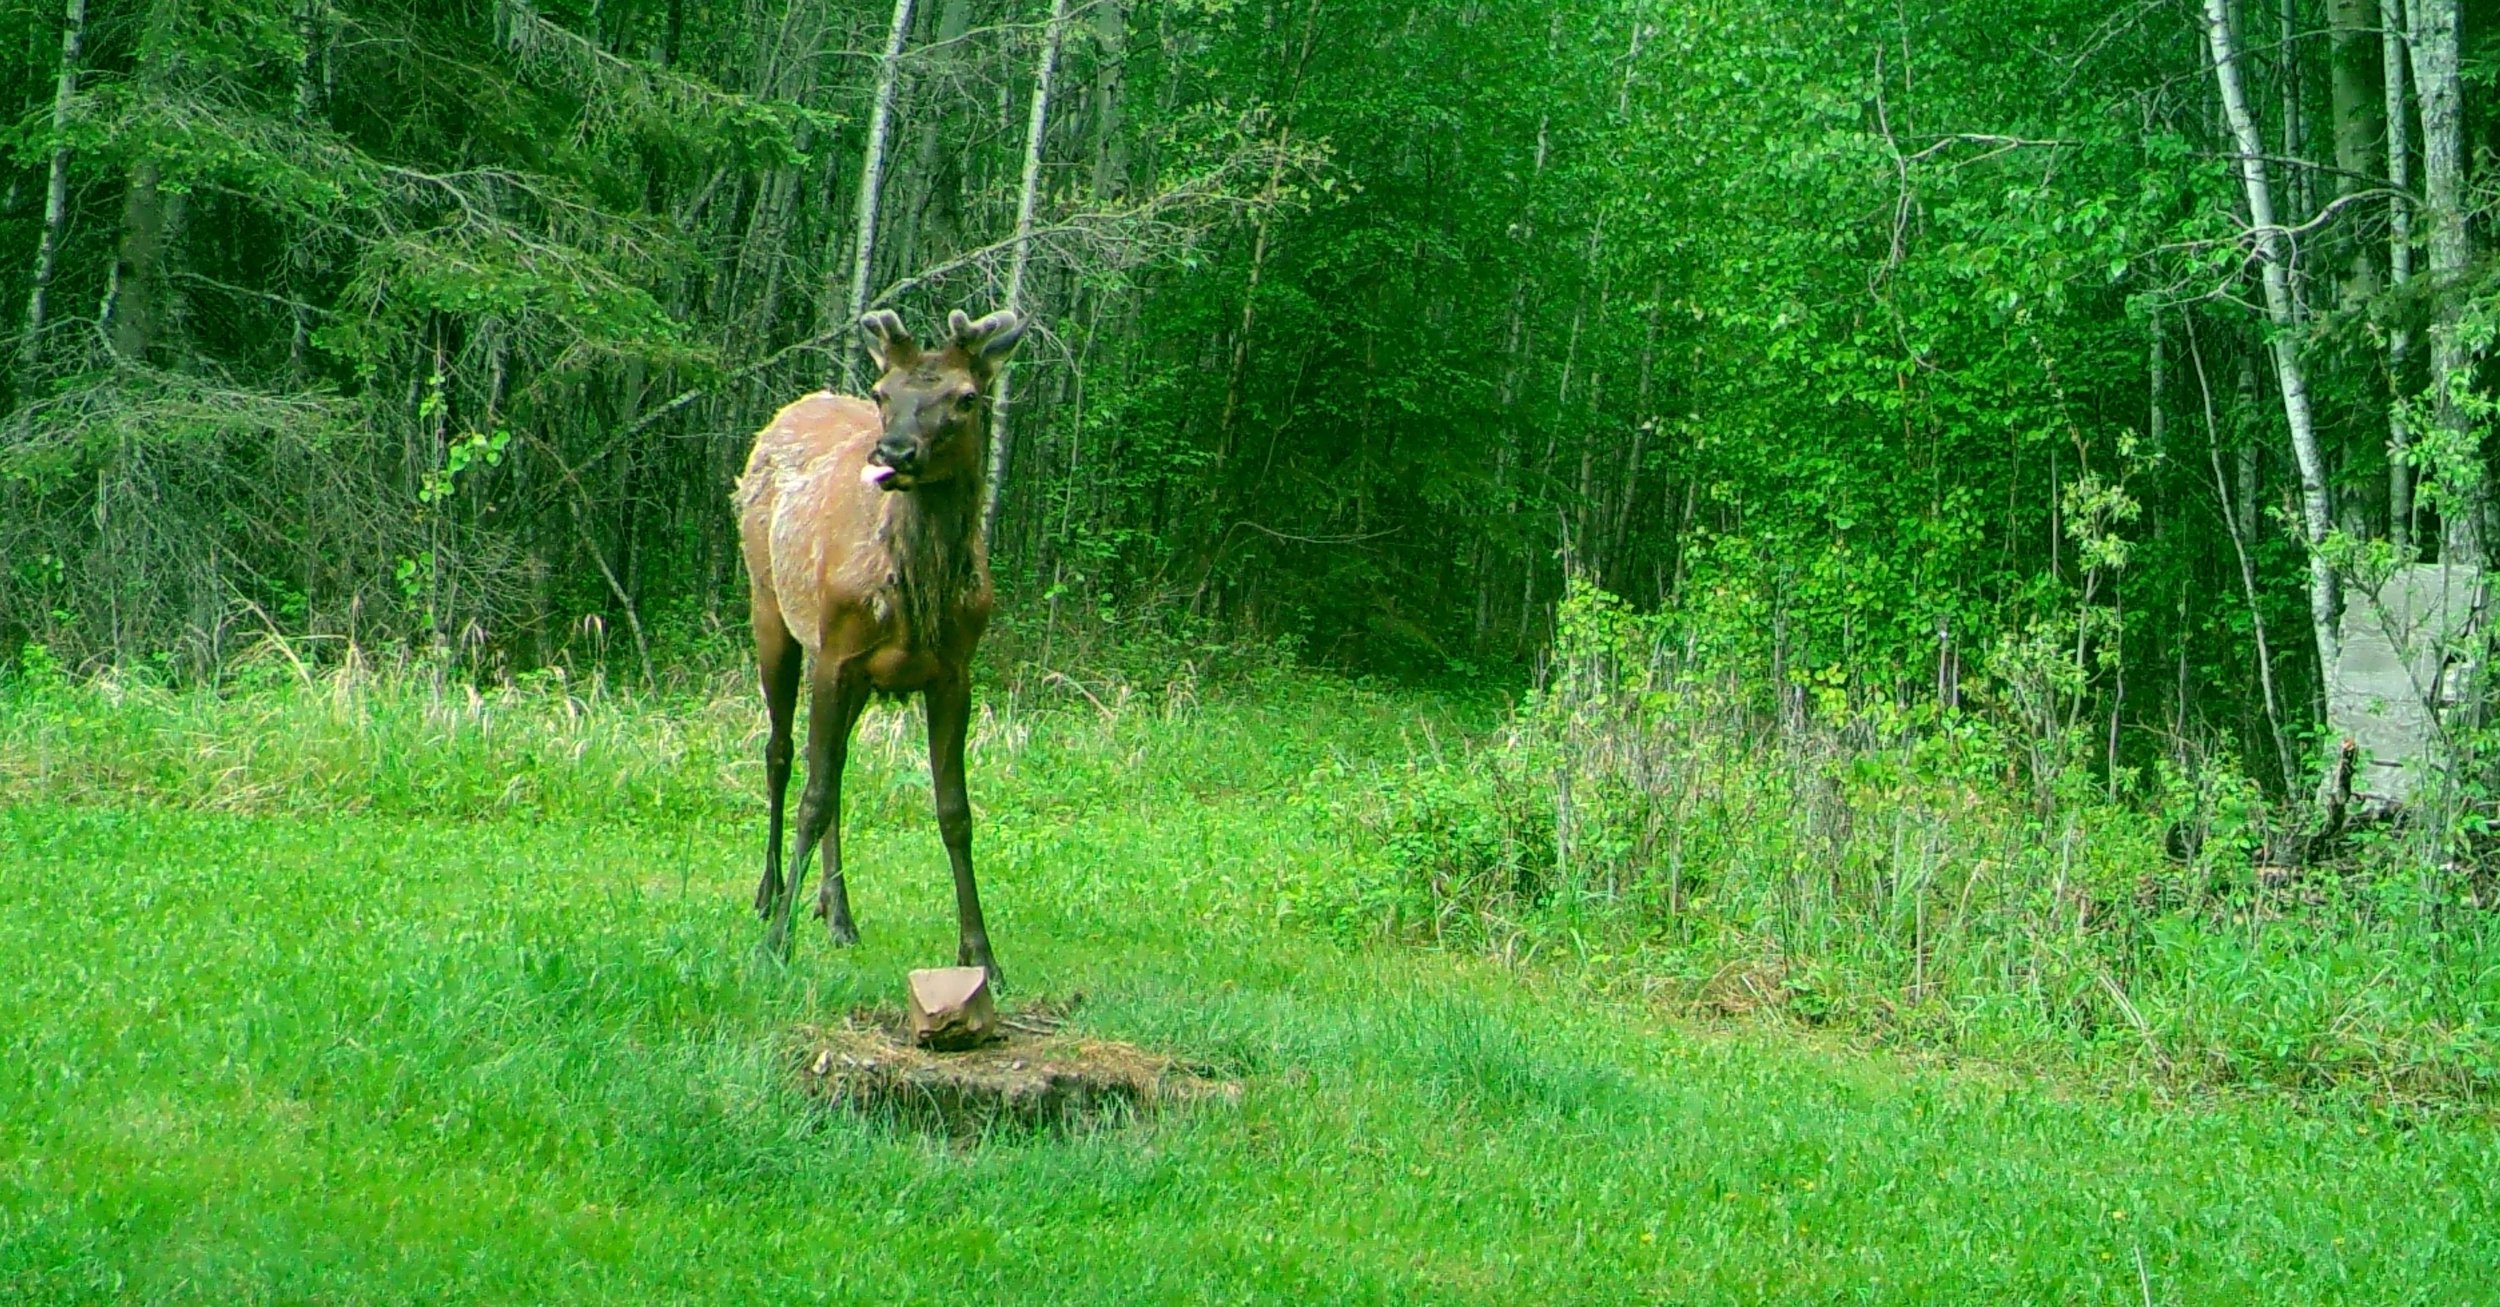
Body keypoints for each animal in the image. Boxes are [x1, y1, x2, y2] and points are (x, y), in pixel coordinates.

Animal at [735, 307, 1026, 971]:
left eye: (967, 397)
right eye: (881, 393)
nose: (892, 451)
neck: (915, 589)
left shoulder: (953, 671)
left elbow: (954, 811)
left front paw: (982, 955)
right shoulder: (836, 654)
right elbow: (814, 796)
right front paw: (775, 944)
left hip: (859, 675)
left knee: (834, 765)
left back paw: (836, 912)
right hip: (773, 612)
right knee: (781, 752)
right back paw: (770, 894)